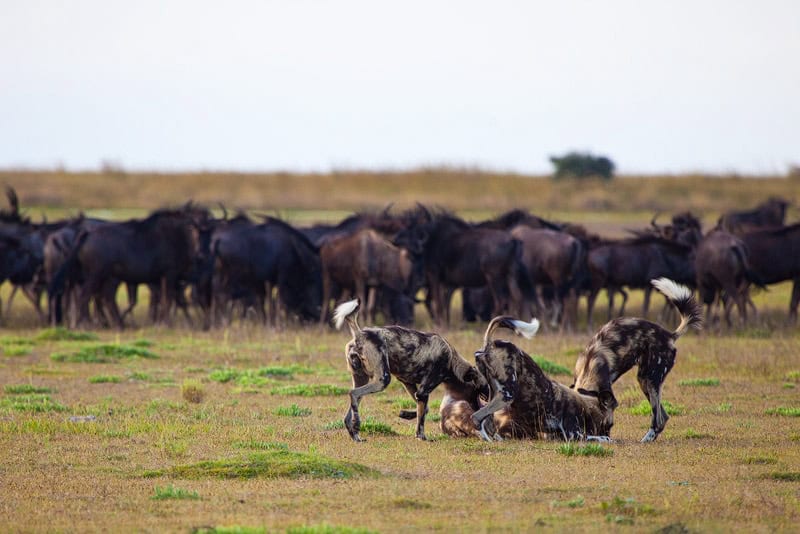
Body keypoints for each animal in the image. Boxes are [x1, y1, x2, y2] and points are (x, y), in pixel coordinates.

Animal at [332, 298, 484, 444]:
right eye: (481, 391)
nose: (477, 410)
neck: (452, 361)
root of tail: (359, 334)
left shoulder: (410, 385)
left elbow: (424, 410)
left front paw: (404, 414)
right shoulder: (423, 391)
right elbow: (421, 421)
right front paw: (422, 437)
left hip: (362, 379)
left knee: (350, 408)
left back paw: (355, 435)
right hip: (382, 380)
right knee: (353, 393)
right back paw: (357, 426)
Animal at [468, 316, 612, 442]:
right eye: (609, 425)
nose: (608, 432)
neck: (585, 406)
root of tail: (491, 344)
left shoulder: (555, 435)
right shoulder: (574, 435)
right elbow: (601, 438)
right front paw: (609, 439)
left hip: (494, 393)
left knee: (486, 420)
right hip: (507, 395)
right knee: (476, 417)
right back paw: (489, 440)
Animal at [572, 276, 704, 444]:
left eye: (608, 425)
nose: (606, 437)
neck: (589, 366)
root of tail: (669, 335)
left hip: (650, 380)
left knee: (658, 419)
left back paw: (646, 439)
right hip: (644, 381)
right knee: (664, 416)